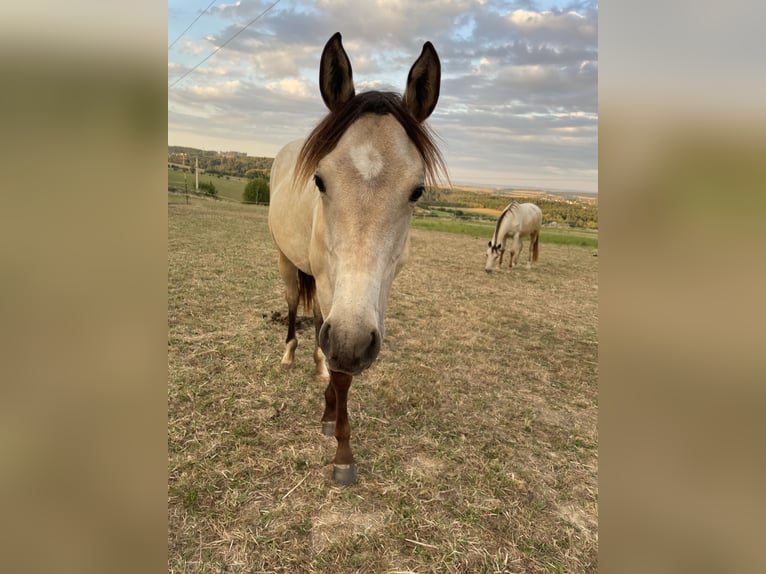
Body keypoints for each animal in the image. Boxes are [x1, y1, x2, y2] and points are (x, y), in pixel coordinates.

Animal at [268, 33, 446, 485]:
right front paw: (342, 453)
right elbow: (342, 370)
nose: (348, 341)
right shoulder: (340, 306)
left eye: (417, 191)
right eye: (319, 180)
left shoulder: (367, 304)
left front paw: (330, 413)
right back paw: (290, 355)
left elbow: (338, 362)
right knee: (294, 308)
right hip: (288, 263)